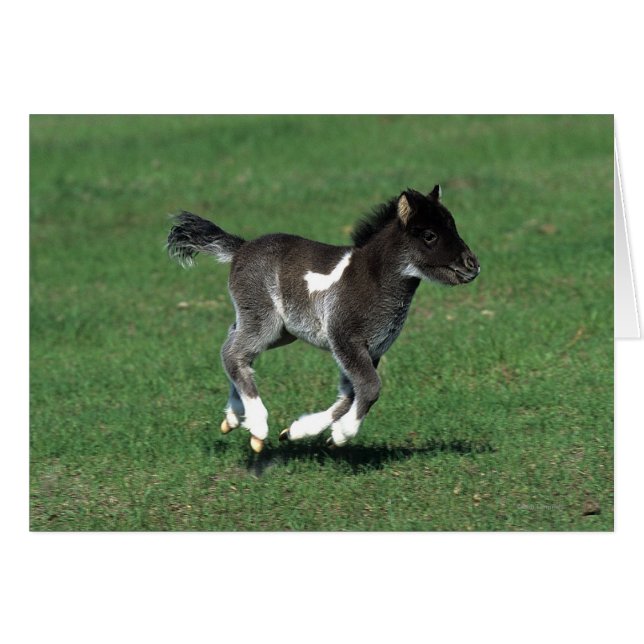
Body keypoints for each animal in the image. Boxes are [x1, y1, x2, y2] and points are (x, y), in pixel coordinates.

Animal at [167, 185, 480, 453]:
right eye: (429, 235)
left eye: (453, 226)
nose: (473, 265)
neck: (373, 279)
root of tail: (241, 248)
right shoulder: (345, 338)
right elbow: (370, 387)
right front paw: (341, 435)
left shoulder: (372, 349)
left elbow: (350, 394)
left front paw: (297, 431)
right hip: (264, 320)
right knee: (233, 353)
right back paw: (257, 425)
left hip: (280, 330)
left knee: (234, 345)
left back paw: (234, 417)